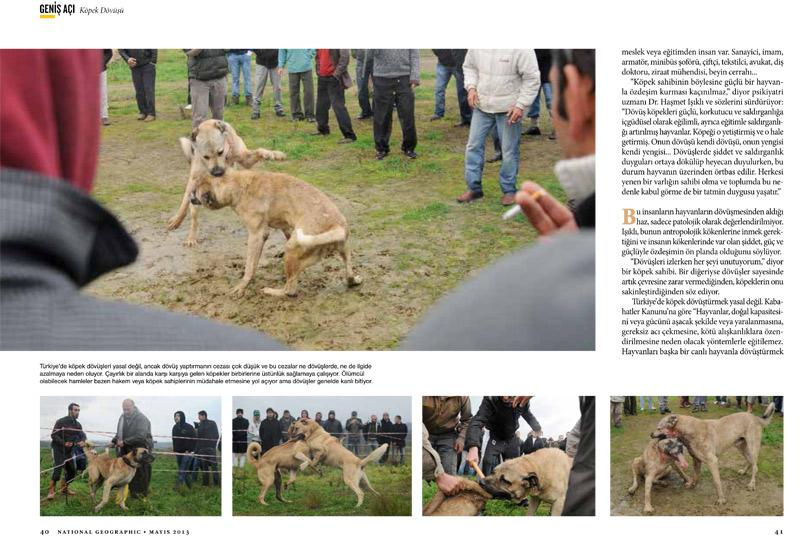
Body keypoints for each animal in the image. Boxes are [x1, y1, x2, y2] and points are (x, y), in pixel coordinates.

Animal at [191, 169, 362, 298]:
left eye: (194, 191)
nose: (190, 197)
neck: (237, 184)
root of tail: (336, 227)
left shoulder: (257, 234)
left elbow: (250, 266)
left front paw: (242, 285)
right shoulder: (285, 228)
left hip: (291, 248)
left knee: (290, 291)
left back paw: (272, 291)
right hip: (343, 250)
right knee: (348, 274)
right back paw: (354, 280)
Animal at [648, 400, 776, 504]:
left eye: (659, 428)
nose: (651, 434)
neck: (690, 430)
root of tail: (755, 417)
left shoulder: (712, 461)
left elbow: (717, 481)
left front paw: (721, 499)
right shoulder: (696, 460)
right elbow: (695, 475)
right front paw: (692, 485)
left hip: (752, 447)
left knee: (755, 466)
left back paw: (751, 484)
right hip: (741, 447)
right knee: (750, 461)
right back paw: (744, 471)